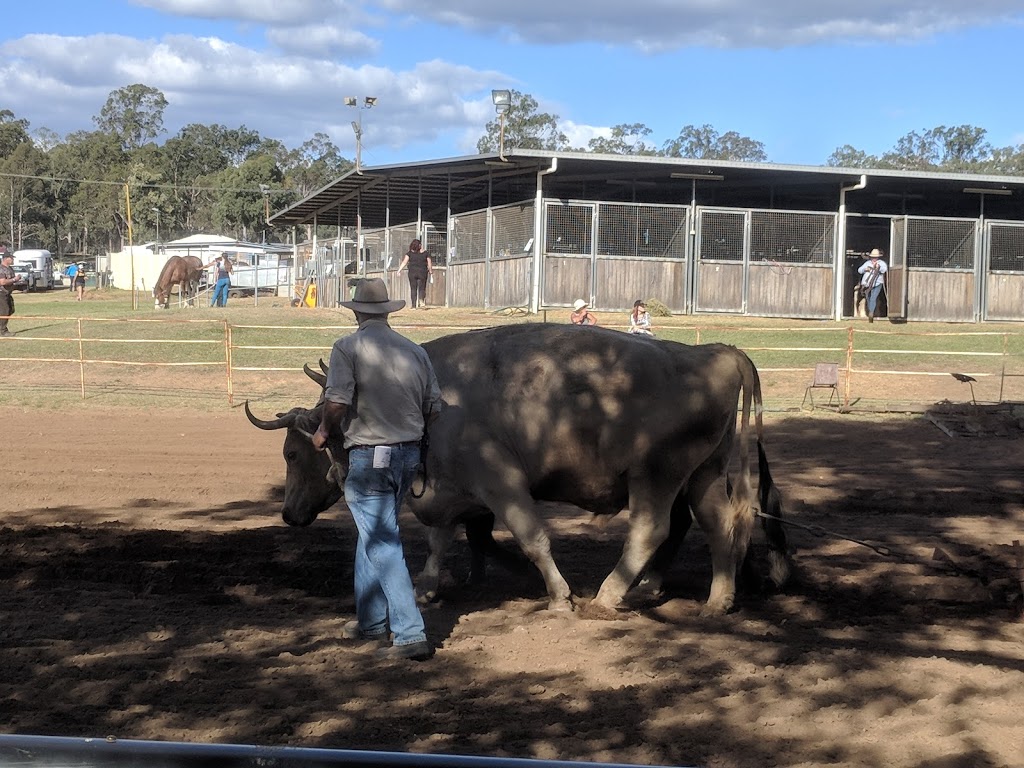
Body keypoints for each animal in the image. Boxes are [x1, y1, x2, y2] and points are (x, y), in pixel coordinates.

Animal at [247, 325, 790, 618]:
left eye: (291, 454)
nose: (288, 515)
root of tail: (717, 353)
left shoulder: (500, 481)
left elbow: (532, 538)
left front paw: (559, 595)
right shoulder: (444, 490)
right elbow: (441, 540)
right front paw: (427, 586)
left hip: (656, 474)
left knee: (653, 529)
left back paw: (608, 595)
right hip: (703, 473)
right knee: (719, 526)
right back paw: (718, 600)